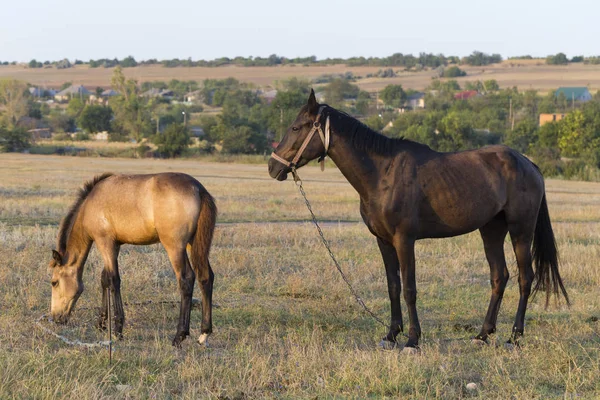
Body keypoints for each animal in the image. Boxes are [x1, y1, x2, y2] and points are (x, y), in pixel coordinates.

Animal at [270, 90, 568, 350]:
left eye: (297, 128)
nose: (273, 167)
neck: (382, 173)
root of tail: (528, 163)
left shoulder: (405, 240)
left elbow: (409, 288)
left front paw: (412, 340)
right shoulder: (383, 241)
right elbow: (393, 286)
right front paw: (391, 335)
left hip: (521, 231)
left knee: (525, 278)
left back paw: (514, 337)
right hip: (491, 230)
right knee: (499, 276)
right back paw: (483, 334)